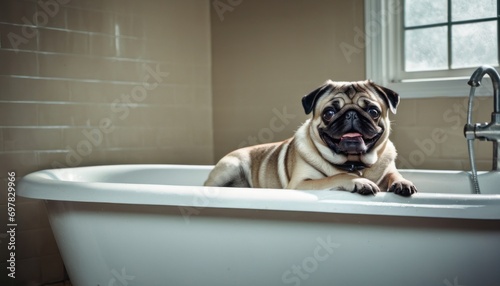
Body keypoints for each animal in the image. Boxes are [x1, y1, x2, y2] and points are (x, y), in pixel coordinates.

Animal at [204, 80, 418, 197]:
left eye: (373, 111)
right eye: (329, 113)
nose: (351, 114)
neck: (353, 163)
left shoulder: (388, 169)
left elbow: (394, 175)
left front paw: (402, 183)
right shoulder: (300, 184)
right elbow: (337, 177)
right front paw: (359, 182)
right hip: (229, 167)